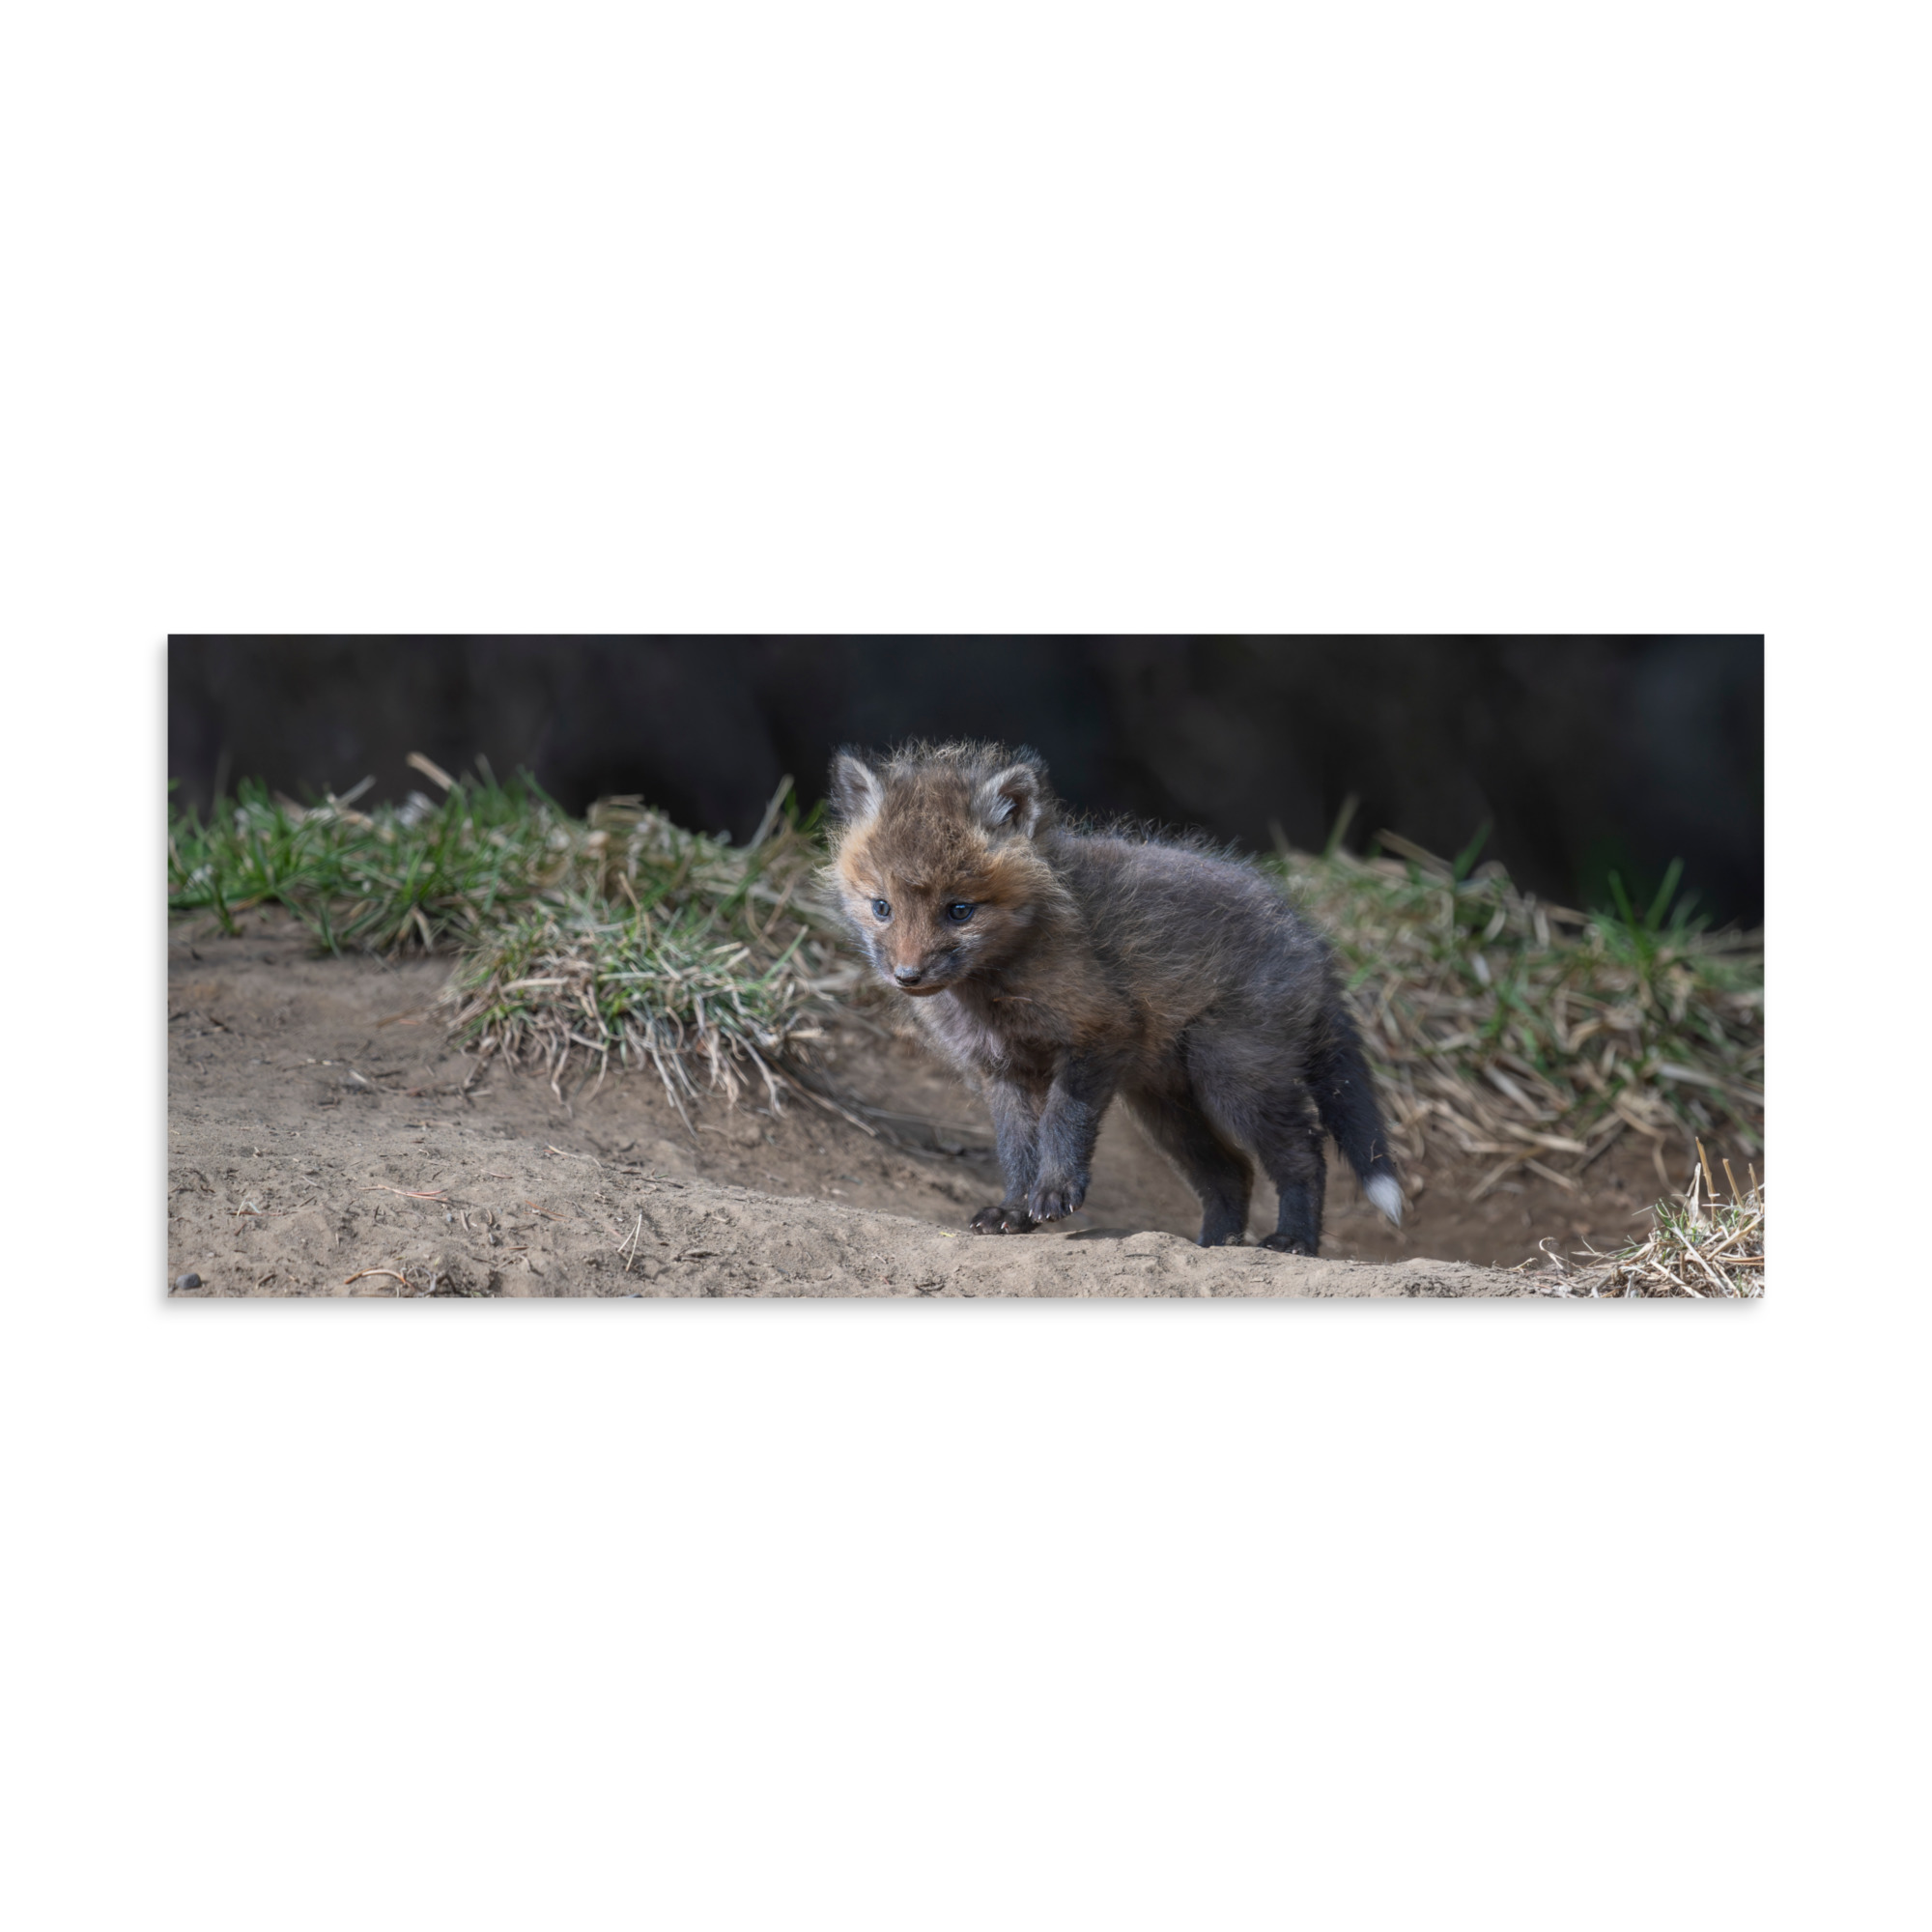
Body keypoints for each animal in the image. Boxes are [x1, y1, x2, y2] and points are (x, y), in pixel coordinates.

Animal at [825, 740, 1403, 1252]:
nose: (907, 976)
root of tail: (1311, 939)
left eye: (959, 910)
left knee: (1304, 1153)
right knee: (1232, 1172)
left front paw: (1055, 1192)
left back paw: (1293, 1240)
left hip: (1232, 1076)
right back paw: (1216, 1246)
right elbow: (1016, 1149)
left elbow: (1062, 1122)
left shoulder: (1099, 1033)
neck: (994, 992)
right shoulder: (1001, 1070)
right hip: (1165, 1106)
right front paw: (1014, 1210)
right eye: (882, 907)